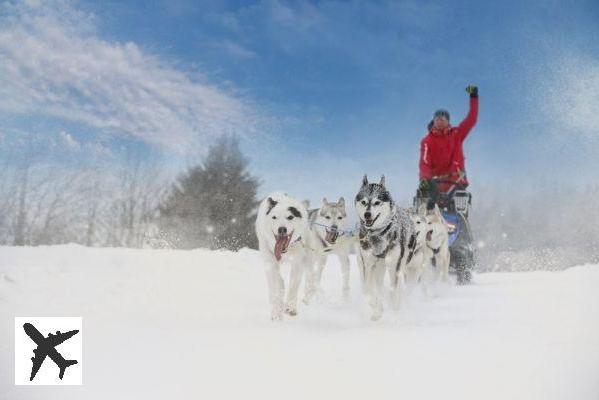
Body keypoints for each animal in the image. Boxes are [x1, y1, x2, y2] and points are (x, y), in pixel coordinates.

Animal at [254, 192, 312, 320]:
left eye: (290, 217)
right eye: (274, 217)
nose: (281, 229)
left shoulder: (297, 263)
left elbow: (293, 286)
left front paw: (290, 307)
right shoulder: (270, 263)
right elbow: (275, 289)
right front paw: (276, 312)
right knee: (278, 283)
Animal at [356, 177, 418, 320]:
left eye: (377, 202)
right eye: (364, 202)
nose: (367, 214)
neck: (377, 234)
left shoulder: (394, 264)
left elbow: (394, 290)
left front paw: (394, 309)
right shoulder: (368, 264)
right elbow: (368, 290)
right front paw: (376, 307)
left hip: (399, 264)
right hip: (378, 266)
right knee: (377, 286)